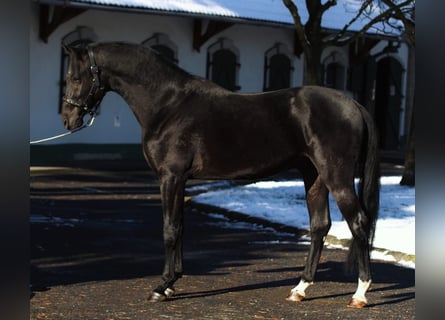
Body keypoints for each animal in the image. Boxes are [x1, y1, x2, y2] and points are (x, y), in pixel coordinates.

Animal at [61, 42, 378, 308]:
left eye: (75, 78)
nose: (68, 119)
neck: (168, 105)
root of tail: (354, 104)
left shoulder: (170, 178)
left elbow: (169, 229)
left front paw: (161, 286)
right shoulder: (180, 181)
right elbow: (180, 227)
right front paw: (173, 283)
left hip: (337, 177)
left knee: (359, 223)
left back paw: (360, 294)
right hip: (314, 176)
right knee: (319, 226)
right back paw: (300, 289)